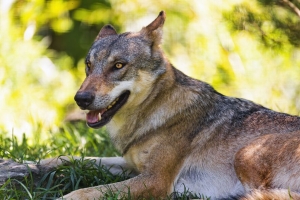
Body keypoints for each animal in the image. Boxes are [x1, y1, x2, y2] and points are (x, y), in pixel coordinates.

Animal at [43, 11, 300, 200]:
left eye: (118, 65)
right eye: (88, 65)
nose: (81, 99)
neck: (153, 113)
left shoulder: (155, 180)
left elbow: (83, 191)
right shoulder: (133, 165)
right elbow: (74, 158)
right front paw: (40, 163)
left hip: (244, 154)